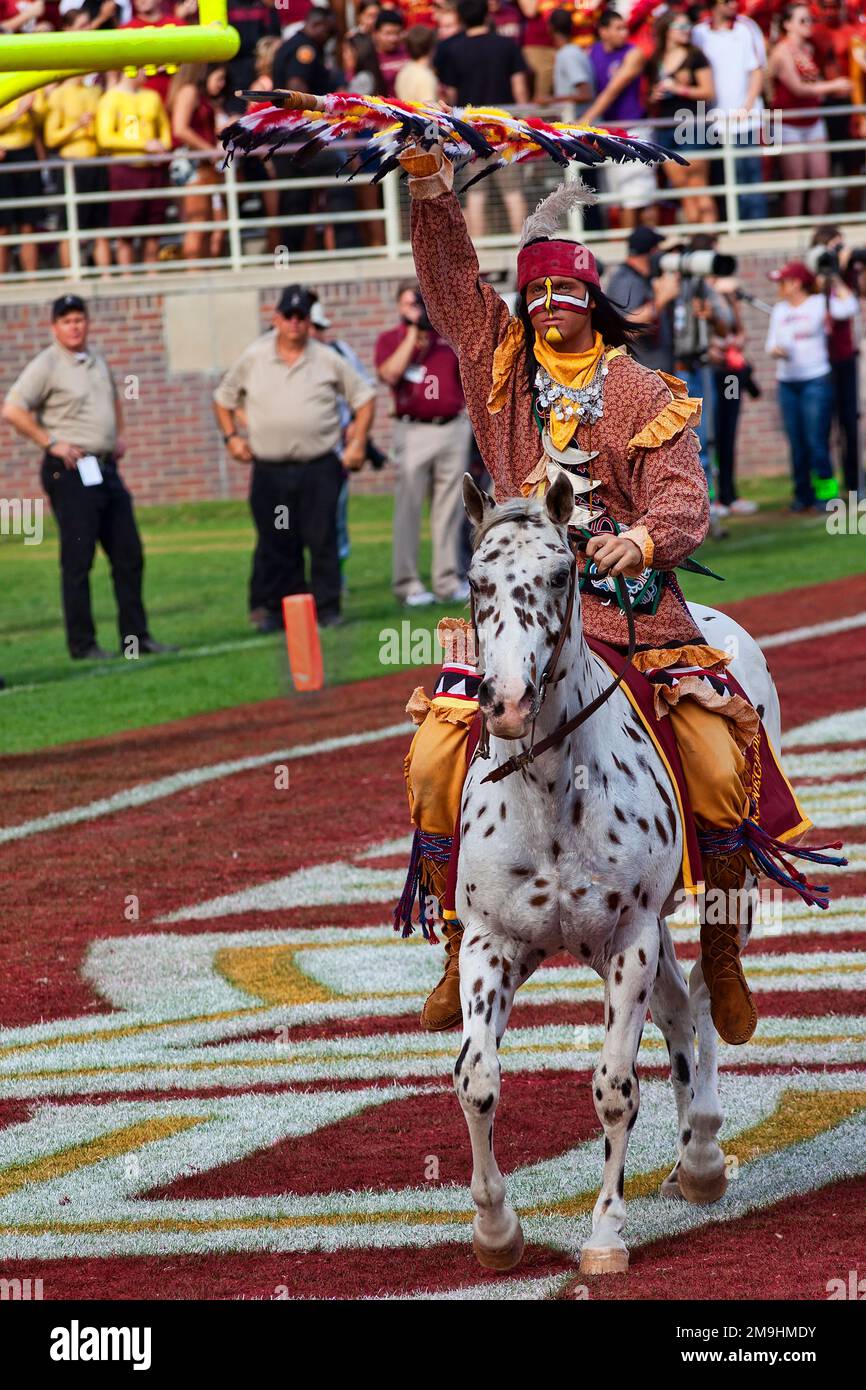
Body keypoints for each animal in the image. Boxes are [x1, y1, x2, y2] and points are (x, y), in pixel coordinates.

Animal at [458, 472, 778, 1273]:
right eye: (476, 581)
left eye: (559, 575)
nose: (507, 703)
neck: (549, 791)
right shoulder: (490, 942)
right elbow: (477, 1080)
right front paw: (496, 1230)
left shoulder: (627, 939)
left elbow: (613, 1089)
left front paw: (605, 1232)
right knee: (676, 1008)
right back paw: (690, 1156)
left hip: (729, 894)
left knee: (703, 996)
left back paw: (703, 1154)